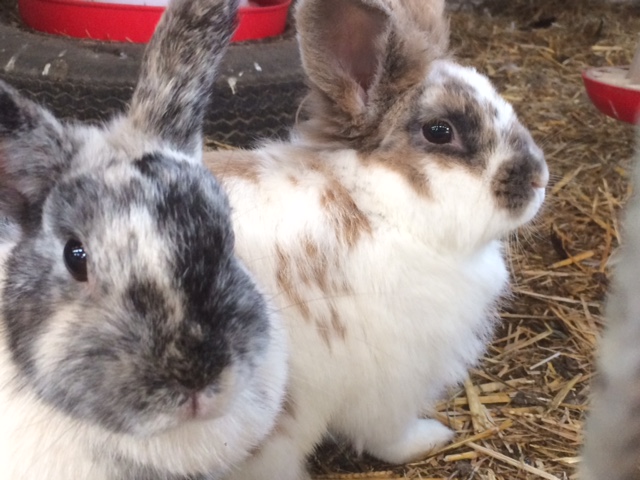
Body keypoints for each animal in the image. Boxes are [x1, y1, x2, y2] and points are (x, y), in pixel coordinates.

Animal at [204, 0, 552, 476]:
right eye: (440, 131)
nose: (538, 178)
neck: (374, 206)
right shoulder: (389, 383)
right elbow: (388, 436)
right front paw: (430, 438)